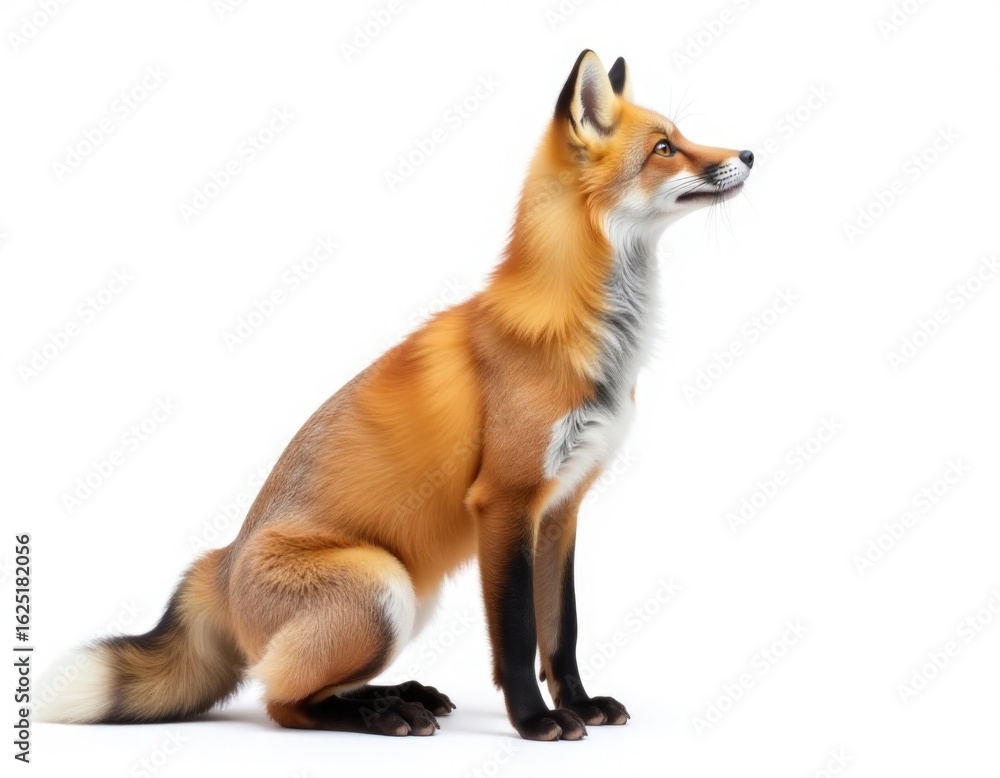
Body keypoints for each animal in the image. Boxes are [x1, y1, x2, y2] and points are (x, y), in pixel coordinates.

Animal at [40, 50, 752, 741]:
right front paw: (534, 722)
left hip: (410, 592)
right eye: (665, 148)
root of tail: (219, 566)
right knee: (281, 701)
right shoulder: (505, 501)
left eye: (681, 137)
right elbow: (519, 637)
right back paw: (382, 715)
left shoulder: (561, 508)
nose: (747, 154)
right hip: (384, 587)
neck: (583, 334)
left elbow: (563, 631)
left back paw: (398, 695)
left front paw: (579, 704)